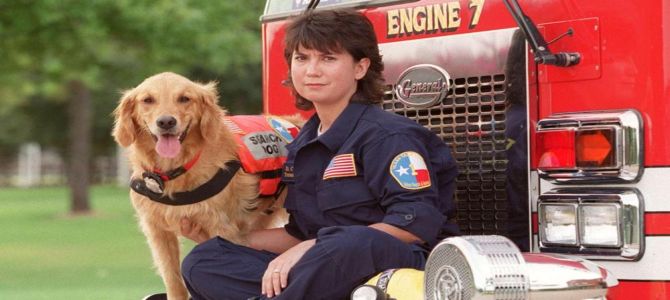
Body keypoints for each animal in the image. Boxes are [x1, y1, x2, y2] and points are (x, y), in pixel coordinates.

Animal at [113, 72, 302, 300]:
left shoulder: (221, 228)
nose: (166, 122)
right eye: (148, 100)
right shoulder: (157, 231)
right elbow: (174, 281)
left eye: (184, 98)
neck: (176, 170)